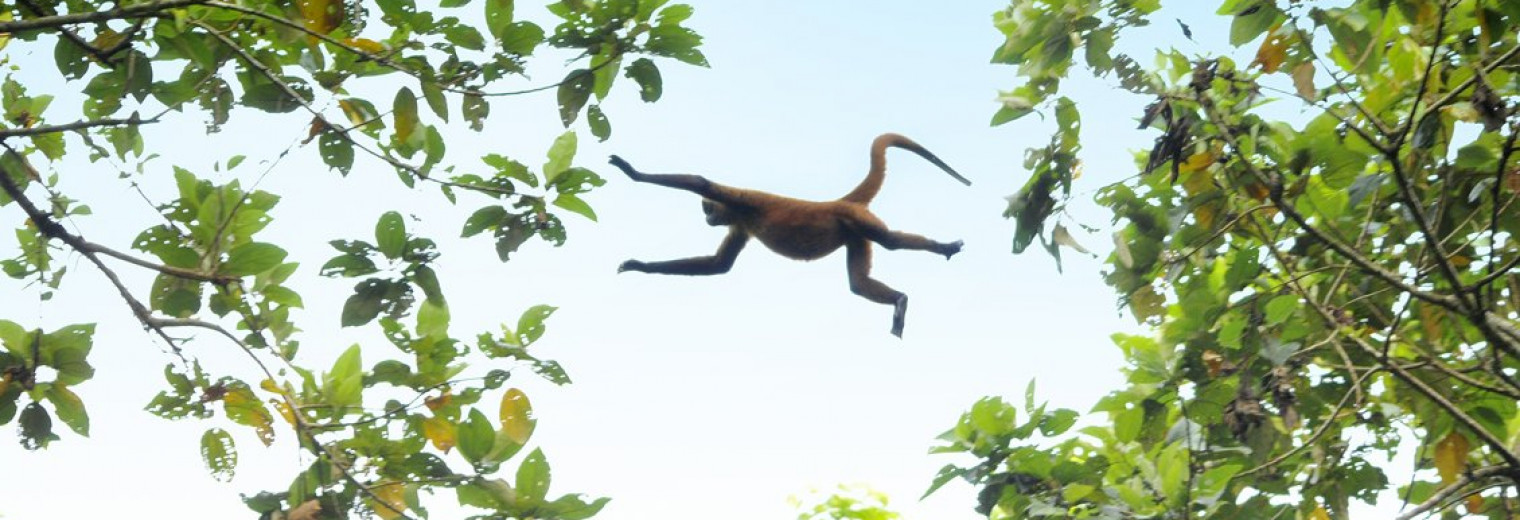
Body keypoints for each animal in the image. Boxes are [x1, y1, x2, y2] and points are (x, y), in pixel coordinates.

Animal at [608, 132, 972, 339]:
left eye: (706, 208)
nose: (707, 218)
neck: (738, 213)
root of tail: (840, 201)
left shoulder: (744, 201)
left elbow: (700, 182)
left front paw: (631, 171)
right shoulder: (740, 224)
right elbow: (718, 265)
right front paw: (640, 266)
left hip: (857, 219)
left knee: (891, 242)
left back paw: (940, 251)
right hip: (854, 231)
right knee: (858, 282)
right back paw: (899, 300)